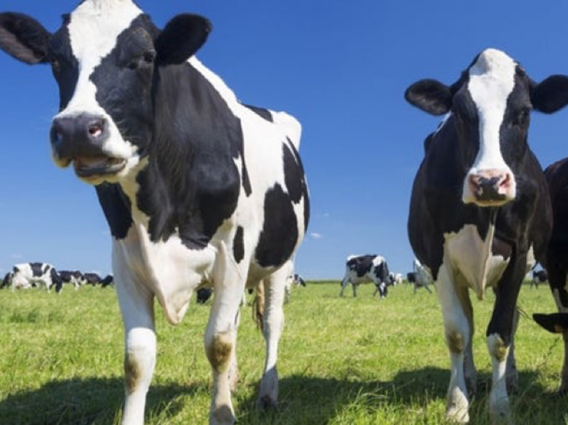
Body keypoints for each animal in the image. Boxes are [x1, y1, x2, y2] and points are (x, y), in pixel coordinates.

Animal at [0, 1, 308, 422]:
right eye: (55, 60)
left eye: (146, 56)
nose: (78, 129)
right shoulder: (126, 258)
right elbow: (137, 357)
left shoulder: (232, 251)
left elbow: (218, 343)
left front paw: (222, 413)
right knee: (236, 320)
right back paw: (231, 383)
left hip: (280, 261)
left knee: (272, 323)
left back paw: (267, 393)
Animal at [404, 47, 568, 420]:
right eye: (460, 113)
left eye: (523, 112)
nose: (490, 181)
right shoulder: (438, 257)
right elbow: (457, 333)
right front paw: (457, 405)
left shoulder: (519, 254)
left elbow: (501, 334)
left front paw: (501, 406)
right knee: (468, 322)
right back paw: (470, 378)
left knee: (513, 322)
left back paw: (510, 379)